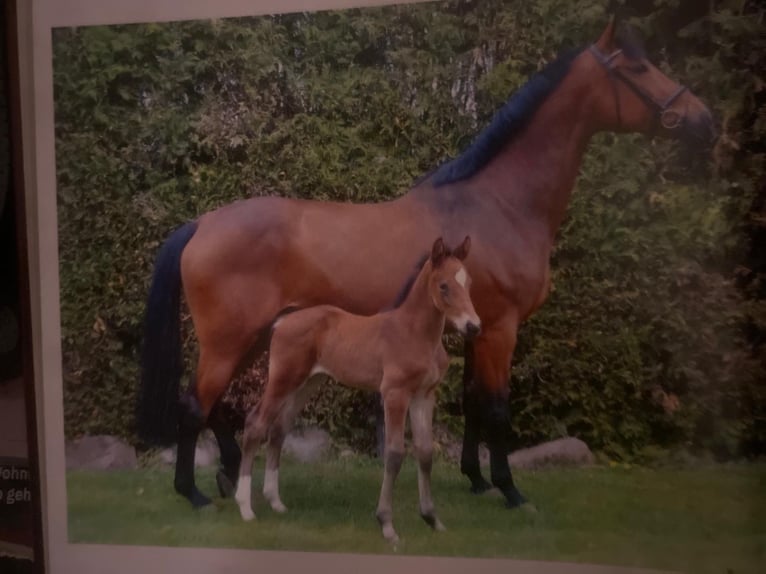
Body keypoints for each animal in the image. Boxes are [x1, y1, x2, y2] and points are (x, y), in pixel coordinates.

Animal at [135, 18, 716, 510]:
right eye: (637, 67)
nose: (704, 120)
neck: (498, 204)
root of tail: (203, 223)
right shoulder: (502, 328)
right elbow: (497, 405)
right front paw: (511, 491)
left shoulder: (477, 328)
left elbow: (473, 402)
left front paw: (477, 480)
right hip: (231, 338)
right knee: (195, 406)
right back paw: (195, 493)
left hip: (256, 337)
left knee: (214, 407)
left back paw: (228, 473)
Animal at [237, 237, 484, 544]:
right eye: (444, 286)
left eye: (469, 282)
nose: (473, 326)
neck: (415, 334)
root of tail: (282, 322)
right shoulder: (395, 394)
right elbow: (394, 453)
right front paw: (387, 525)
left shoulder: (424, 396)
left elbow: (425, 452)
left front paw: (432, 518)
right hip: (283, 379)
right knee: (256, 424)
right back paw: (245, 508)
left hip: (307, 383)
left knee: (279, 428)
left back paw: (275, 501)